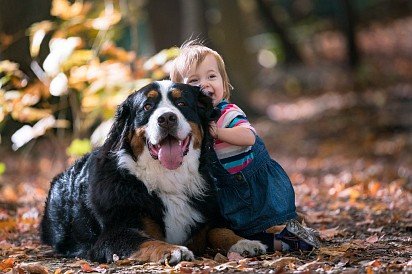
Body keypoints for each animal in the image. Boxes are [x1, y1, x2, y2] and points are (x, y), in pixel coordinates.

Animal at [41, 80, 268, 264]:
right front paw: (174, 250)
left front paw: (244, 242)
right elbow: (144, 241)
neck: (168, 177)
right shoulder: (113, 234)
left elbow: (220, 230)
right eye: (147, 106)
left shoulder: (205, 217)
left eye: (182, 103)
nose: (166, 118)